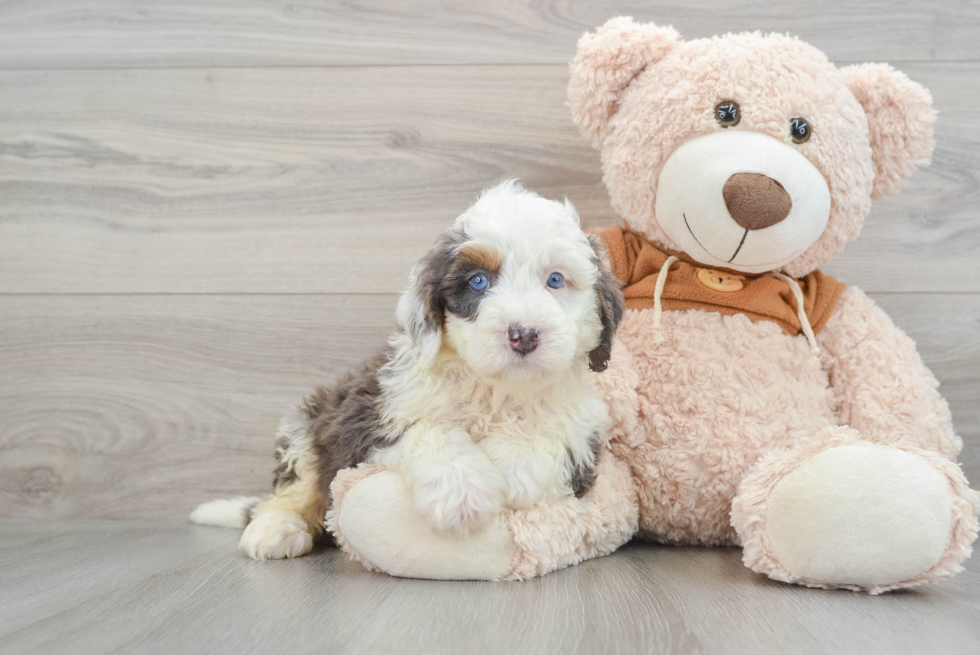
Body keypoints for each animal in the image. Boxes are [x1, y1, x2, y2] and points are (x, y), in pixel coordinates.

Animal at [189, 182, 620, 560]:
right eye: (478, 282)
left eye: (555, 280)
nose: (524, 334)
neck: (497, 389)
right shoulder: (365, 415)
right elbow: (428, 428)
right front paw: (462, 493)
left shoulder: (585, 437)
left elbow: (548, 439)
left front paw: (509, 466)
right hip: (308, 423)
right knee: (295, 485)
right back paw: (275, 529)